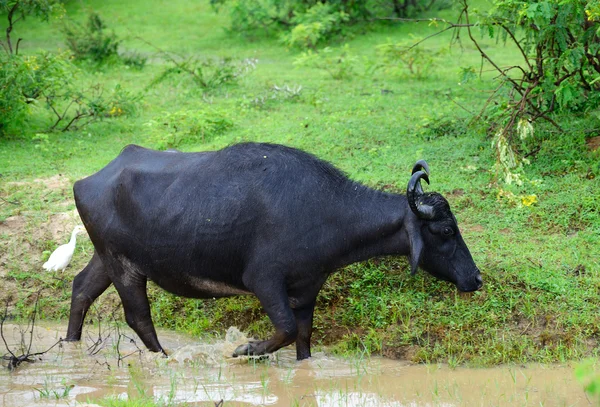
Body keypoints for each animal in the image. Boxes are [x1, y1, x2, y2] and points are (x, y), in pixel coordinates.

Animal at [65, 143, 480, 360]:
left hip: (104, 258)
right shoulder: (264, 281)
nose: (475, 278)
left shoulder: (306, 290)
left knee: (81, 288)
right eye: (446, 230)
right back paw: (164, 358)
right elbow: (284, 330)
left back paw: (70, 343)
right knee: (138, 317)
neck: (327, 211)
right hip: (124, 267)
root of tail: (89, 180)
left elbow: (304, 338)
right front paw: (245, 350)